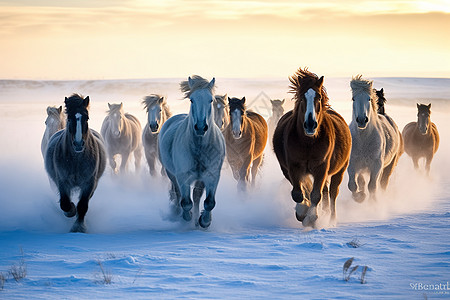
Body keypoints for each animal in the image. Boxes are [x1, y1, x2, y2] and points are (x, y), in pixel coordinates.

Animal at [44, 94, 106, 232]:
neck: (77, 161)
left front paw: (78, 227)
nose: (78, 144)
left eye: (86, 117)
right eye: (69, 118)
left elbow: (82, 205)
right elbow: (65, 204)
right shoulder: (62, 182)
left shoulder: (89, 183)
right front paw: (71, 210)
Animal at [159, 75, 229, 227]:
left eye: (210, 100)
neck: (200, 148)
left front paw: (204, 221)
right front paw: (187, 216)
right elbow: (186, 202)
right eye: (192, 99)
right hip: (171, 174)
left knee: (196, 198)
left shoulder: (212, 176)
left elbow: (209, 202)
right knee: (179, 195)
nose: (201, 127)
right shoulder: (183, 176)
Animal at [270, 68, 352, 227]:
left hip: (340, 171)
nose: (310, 124)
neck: (308, 143)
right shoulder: (293, 167)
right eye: (302, 98)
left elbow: (315, 195)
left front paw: (312, 217)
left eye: (318, 97)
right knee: (320, 191)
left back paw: (331, 219)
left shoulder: (321, 167)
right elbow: (299, 193)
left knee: (332, 193)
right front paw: (303, 212)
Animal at [348, 75, 404, 203]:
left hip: (388, 166)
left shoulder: (376, 165)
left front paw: (372, 202)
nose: (362, 120)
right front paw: (360, 197)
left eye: (369, 99)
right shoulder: (353, 164)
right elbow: (353, 185)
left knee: (383, 183)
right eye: (353, 99)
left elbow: (372, 186)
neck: (363, 139)